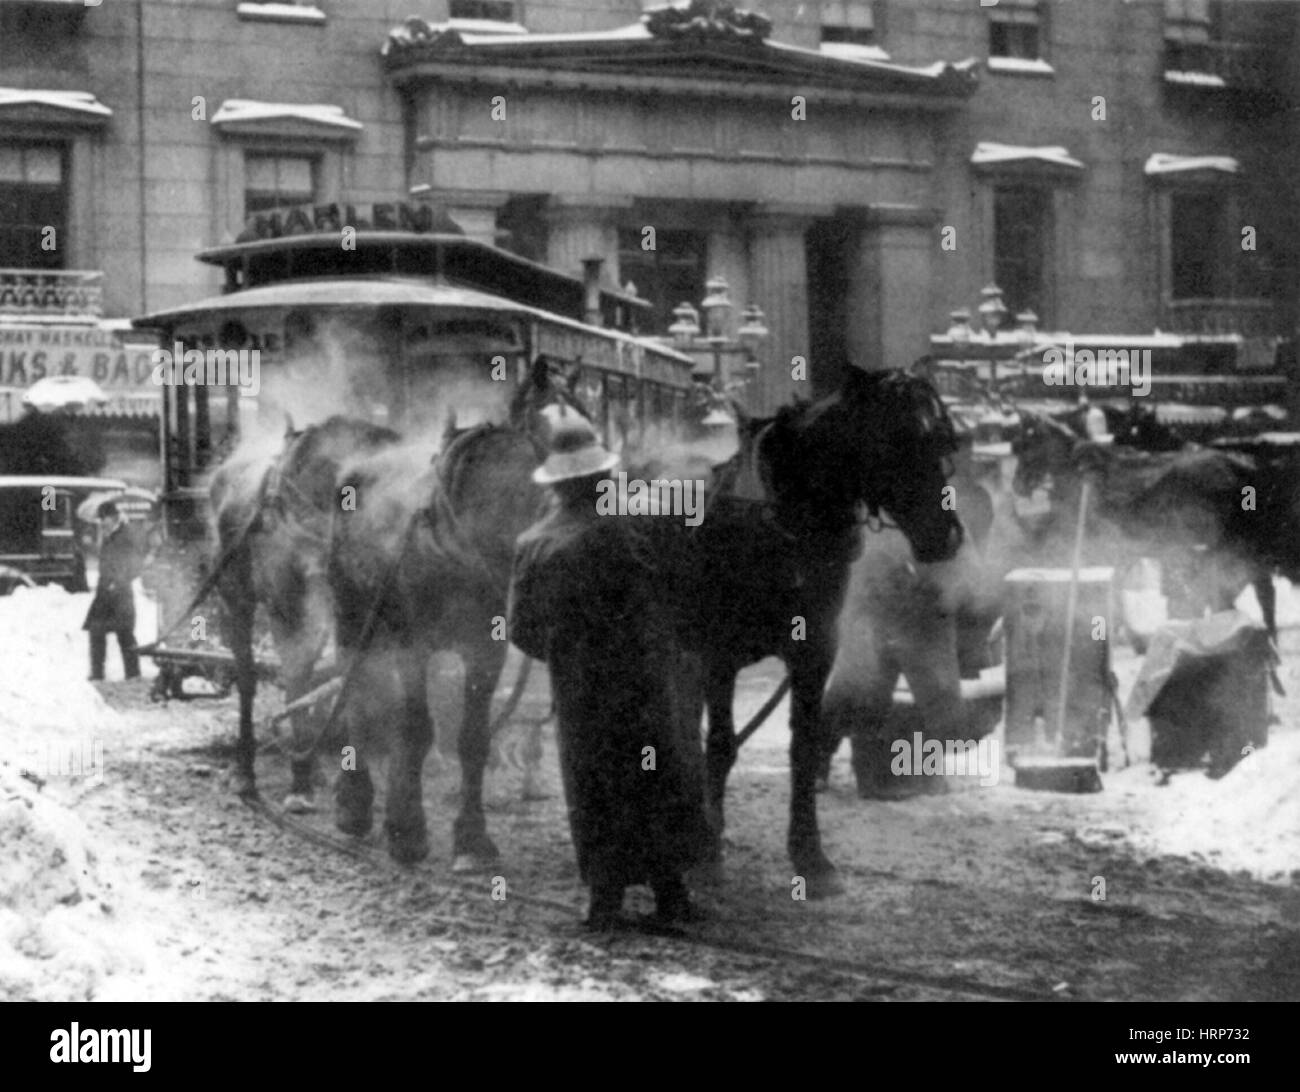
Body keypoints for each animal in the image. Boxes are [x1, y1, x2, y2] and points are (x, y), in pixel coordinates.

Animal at [210, 416, 400, 800]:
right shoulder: (289, 605)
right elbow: (298, 675)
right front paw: (300, 784)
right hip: (236, 597)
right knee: (248, 675)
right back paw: (247, 769)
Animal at [670, 366, 967, 894]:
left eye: (940, 440)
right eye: (895, 440)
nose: (946, 535)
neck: (783, 523)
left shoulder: (814, 652)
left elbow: (804, 746)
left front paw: (810, 854)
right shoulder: (718, 653)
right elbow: (721, 744)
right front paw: (708, 854)